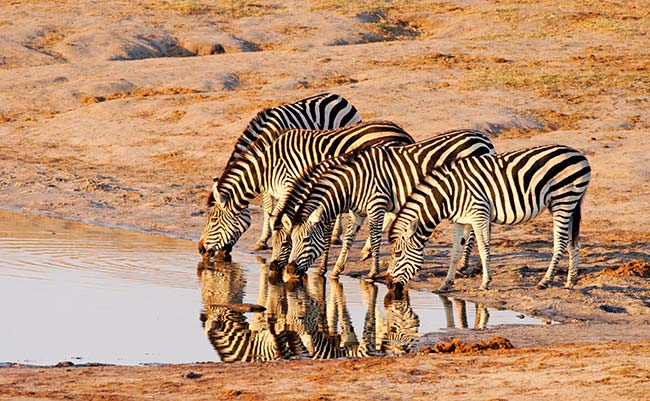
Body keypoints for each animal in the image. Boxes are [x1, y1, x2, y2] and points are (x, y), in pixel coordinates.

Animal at [197, 120, 412, 260]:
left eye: (212, 220)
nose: (200, 250)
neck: (267, 165)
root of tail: (402, 132)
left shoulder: (289, 184)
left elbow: (280, 218)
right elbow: (278, 216)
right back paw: (367, 249)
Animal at [204, 93, 360, 253]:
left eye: (213, 220)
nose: (201, 249)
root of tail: (338, 97)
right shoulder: (267, 177)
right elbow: (269, 208)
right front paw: (265, 239)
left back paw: (335, 235)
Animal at [272, 128, 492, 278]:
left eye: (303, 240)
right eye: (291, 240)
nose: (286, 270)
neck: (352, 183)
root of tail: (482, 137)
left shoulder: (375, 205)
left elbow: (374, 237)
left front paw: (371, 272)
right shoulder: (358, 211)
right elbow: (349, 238)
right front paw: (337, 269)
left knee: (475, 229)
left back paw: (464, 264)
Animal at [388, 145, 588, 294]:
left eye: (397, 254)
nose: (389, 284)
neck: (449, 194)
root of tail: (579, 154)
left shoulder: (479, 214)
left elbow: (484, 249)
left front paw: (485, 283)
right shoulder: (461, 220)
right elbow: (455, 252)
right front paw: (445, 284)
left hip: (563, 200)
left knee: (561, 243)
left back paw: (545, 281)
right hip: (566, 204)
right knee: (574, 243)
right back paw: (570, 282)